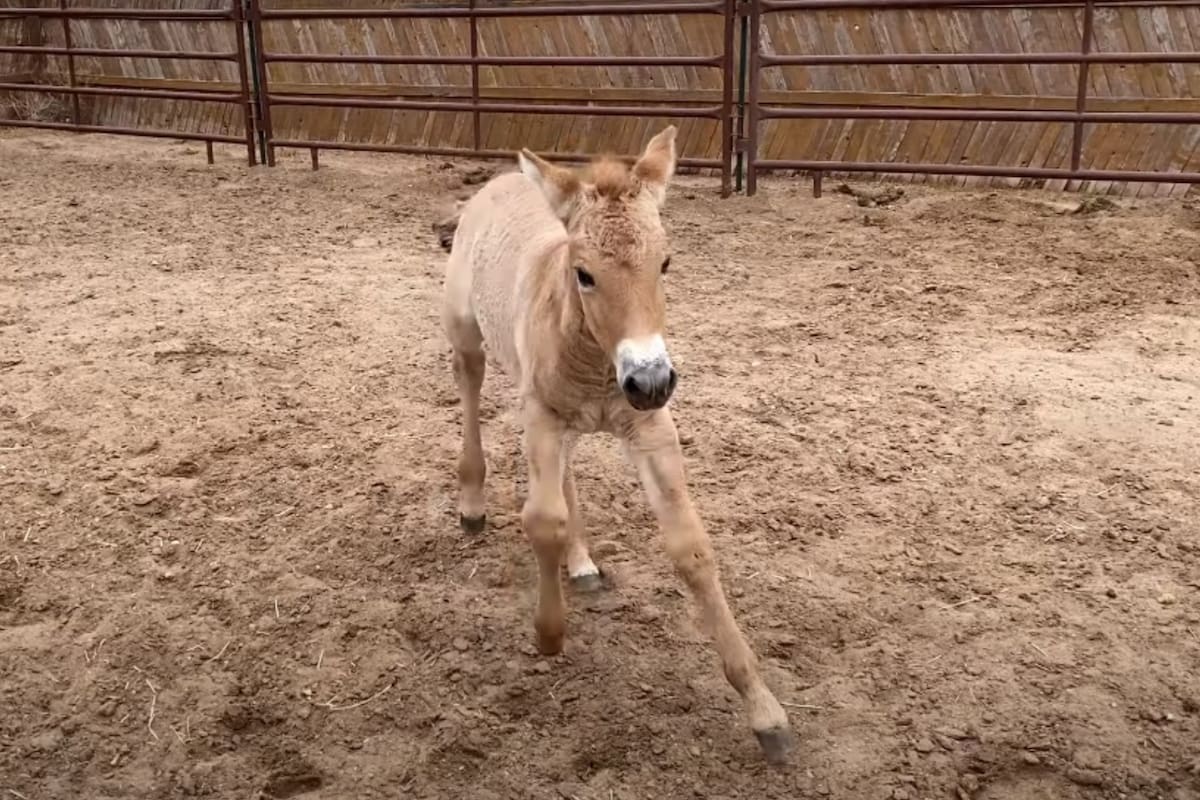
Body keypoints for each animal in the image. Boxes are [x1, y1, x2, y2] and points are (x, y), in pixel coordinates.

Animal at [439, 126, 793, 763]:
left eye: (666, 262)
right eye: (584, 273)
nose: (649, 379)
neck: (598, 365)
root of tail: (501, 180)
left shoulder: (650, 429)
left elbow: (691, 549)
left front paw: (763, 710)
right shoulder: (540, 414)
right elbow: (543, 521)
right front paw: (548, 634)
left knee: (566, 472)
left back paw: (581, 563)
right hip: (467, 336)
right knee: (471, 393)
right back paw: (473, 506)